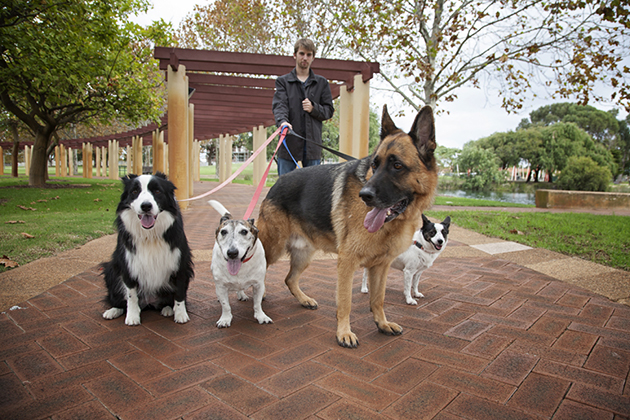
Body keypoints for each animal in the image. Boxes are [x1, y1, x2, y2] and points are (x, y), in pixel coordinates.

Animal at [101, 172, 194, 326]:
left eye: (157, 191)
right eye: (134, 191)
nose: (146, 206)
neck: (150, 235)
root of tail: (149, 303)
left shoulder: (180, 264)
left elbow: (179, 293)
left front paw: (181, 314)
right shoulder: (128, 265)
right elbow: (131, 296)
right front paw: (132, 316)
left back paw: (168, 308)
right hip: (111, 271)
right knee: (119, 299)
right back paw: (113, 310)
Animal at [210, 200, 274, 328]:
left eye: (244, 231)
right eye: (223, 231)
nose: (232, 253)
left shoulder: (259, 284)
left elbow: (257, 303)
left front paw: (261, 316)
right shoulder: (221, 286)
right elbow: (225, 305)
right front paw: (225, 319)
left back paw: (242, 294)